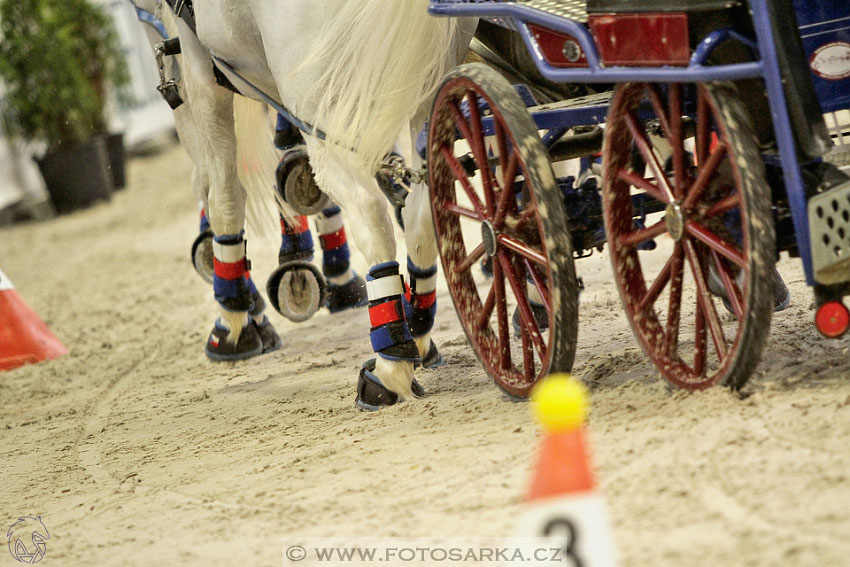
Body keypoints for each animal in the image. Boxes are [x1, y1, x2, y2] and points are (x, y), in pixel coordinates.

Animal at [136, 0, 474, 410]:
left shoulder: (199, 66)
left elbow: (222, 192)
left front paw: (234, 320)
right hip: (423, 95)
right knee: (422, 211)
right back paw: (418, 331)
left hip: (326, 104)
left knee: (369, 210)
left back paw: (390, 366)